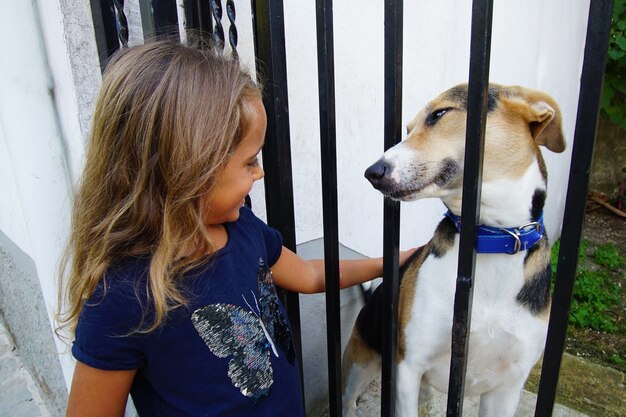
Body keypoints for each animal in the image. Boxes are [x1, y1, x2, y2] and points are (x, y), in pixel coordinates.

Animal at [342, 83, 564, 414]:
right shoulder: (409, 369)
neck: (491, 241)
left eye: (439, 114)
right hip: (361, 365)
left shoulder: (507, 388)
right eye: (408, 129)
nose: (373, 172)